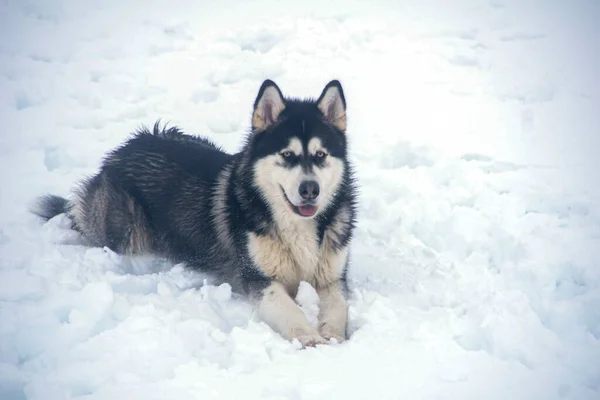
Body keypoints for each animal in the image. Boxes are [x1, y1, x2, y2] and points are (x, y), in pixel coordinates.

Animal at [34, 79, 356, 346]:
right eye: (287, 155)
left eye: (321, 155)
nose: (310, 189)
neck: (297, 226)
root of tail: (120, 151)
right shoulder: (259, 279)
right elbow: (289, 309)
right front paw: (309, 336)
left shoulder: (333, 276)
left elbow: (339, 305)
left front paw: (333, 334)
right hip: (126, 230)